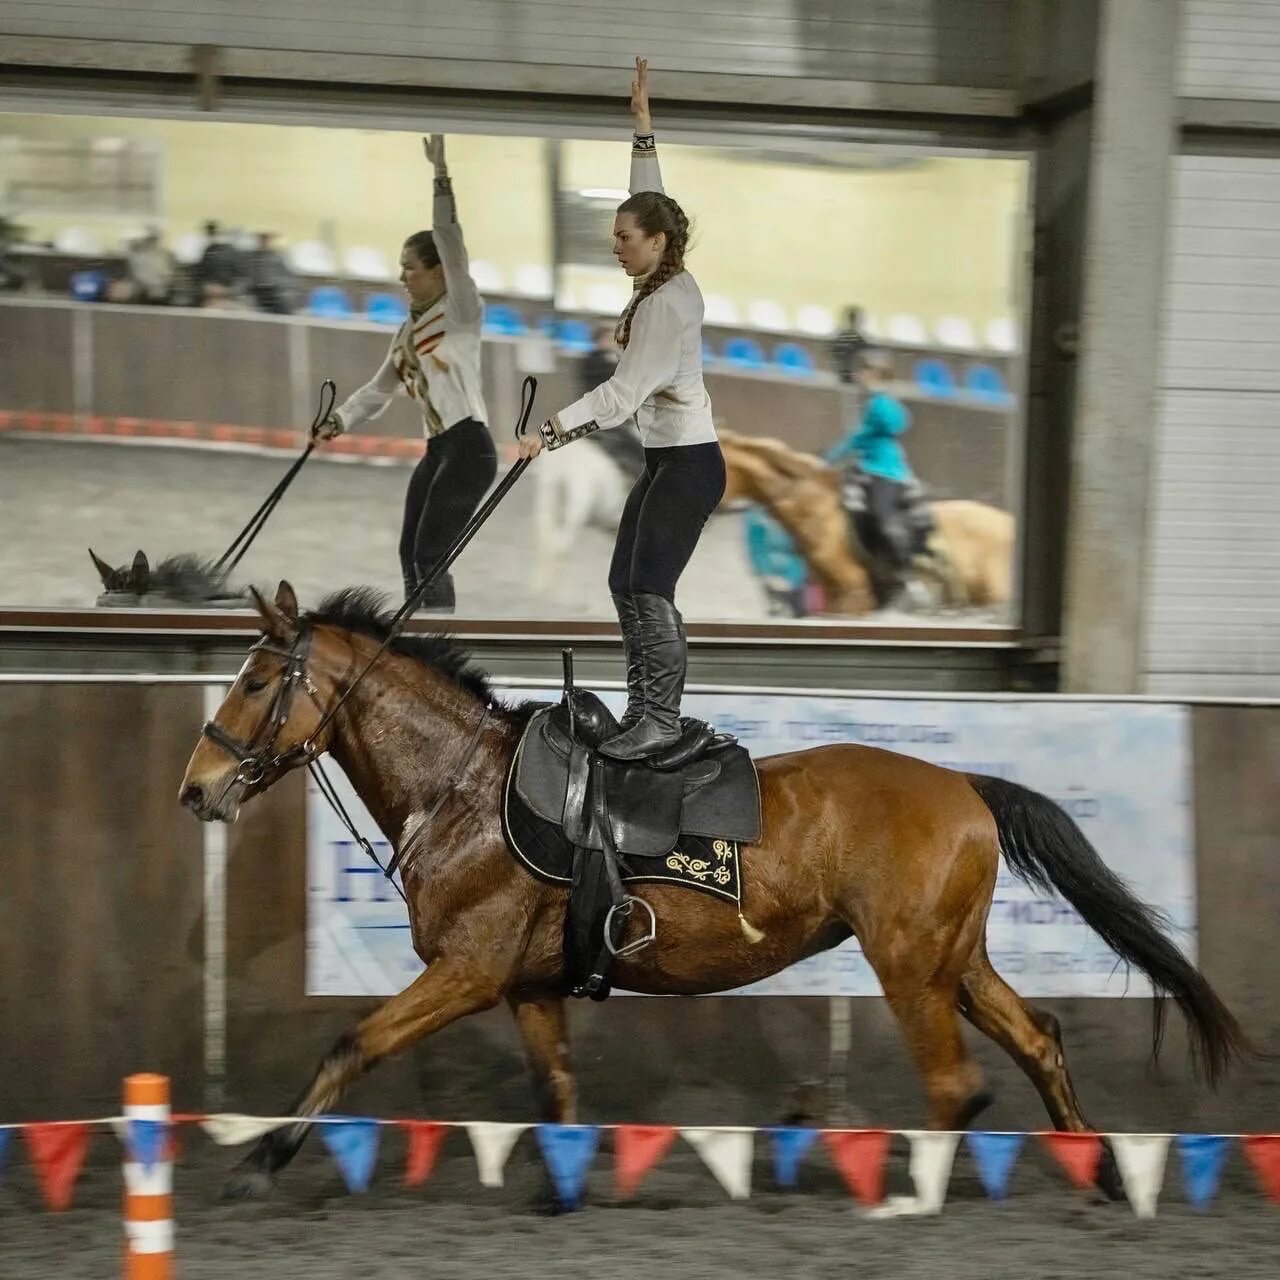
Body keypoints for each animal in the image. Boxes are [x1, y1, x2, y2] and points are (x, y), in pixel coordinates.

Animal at [180, 581, 1249, 1198]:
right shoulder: (528, 988)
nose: (196, 788)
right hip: (958, 958)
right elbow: (556, 1093)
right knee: (1038, 1040)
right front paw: (566, 1189)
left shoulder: (468, 973)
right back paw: (1098, 1168)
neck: (465, 790)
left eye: (254, 682)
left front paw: (262, 1159)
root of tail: (963, 785)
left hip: (911, 966)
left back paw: (916, 1196)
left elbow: (351, 1043)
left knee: (958, 1085)